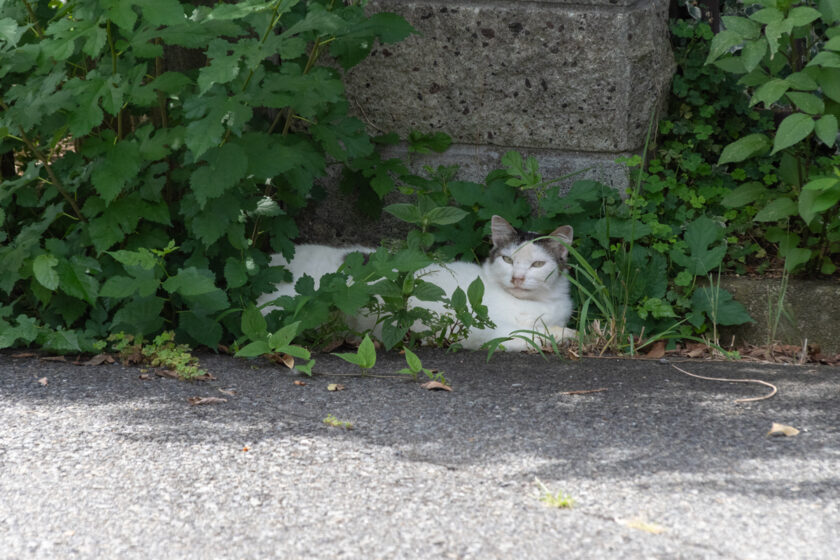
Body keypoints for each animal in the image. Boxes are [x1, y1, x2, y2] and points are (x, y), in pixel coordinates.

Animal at [256, 217, 576, 352]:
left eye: (537, 265)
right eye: (508, 260)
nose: (517, 278)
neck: (536, 304)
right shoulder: (483, 331)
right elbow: (529, 335)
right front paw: (563, 337)